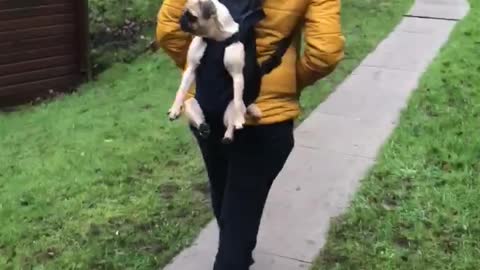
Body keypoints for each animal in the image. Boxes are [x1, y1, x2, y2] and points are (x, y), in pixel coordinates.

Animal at [167, 0, 260, 143]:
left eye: (191, 16)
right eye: (184, 12)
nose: (181, 19)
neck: (214, 38)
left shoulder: (237, 75)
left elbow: (238, 100)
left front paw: (238, 118)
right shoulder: (191, 68)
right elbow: (181, 90)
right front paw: (175, 108)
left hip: (229, 110)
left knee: (231, 119)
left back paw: (228, 135)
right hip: (191, 104)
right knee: (200, 120)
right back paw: (203, 127)